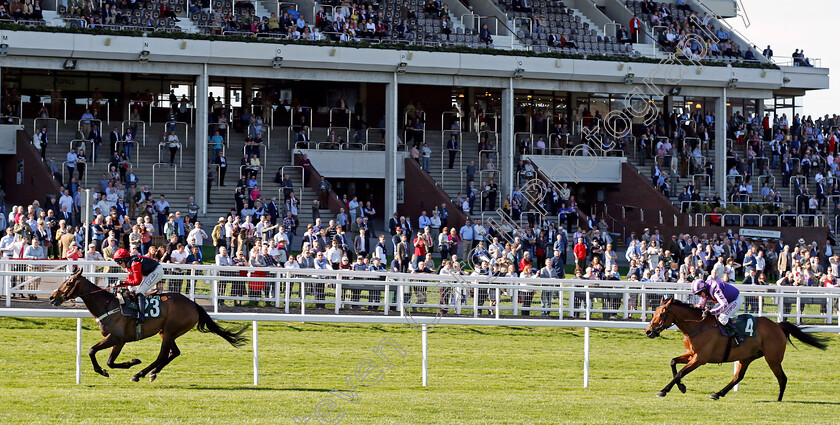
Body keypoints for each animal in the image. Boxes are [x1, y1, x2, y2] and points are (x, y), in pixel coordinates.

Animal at [49, 268, 248, 380]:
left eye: (69, 283)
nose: (52, 297)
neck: (108, 305)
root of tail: (194, 304)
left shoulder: (117, 338)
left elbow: (94, 352)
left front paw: (112, 368)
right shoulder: (118, 340)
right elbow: (110, 361)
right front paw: (127, 363)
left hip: (170, 331)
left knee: (162, 355)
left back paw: (139, 374)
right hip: (165, 332)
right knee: (174, 353)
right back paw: (151, 373)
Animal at [648, 296, 824, 400]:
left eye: (662, 314)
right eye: (654, 312)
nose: (649, 331)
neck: (697, 327)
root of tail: (778, 325)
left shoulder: (700, 359)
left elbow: (680, 373)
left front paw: (664, 390)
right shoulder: (691, 354)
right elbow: (673, 363)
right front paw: (682, 387)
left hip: (773, 359)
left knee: (782, 378)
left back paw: (779, 399)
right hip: (746, 357)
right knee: (738, 377)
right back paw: (718, 393)